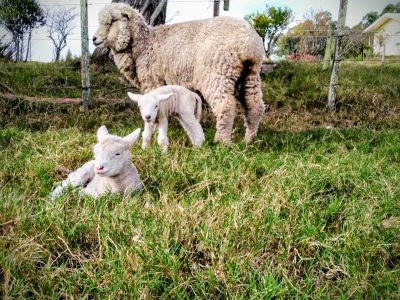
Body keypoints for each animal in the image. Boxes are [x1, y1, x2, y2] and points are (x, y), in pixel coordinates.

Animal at [93, 3, 266, 144]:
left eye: (111, 21)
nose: (94, 39)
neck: (143, 43)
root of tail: (248, 43)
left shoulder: (152, 81)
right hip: (250, 74)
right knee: (254, 106)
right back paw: (249, 140)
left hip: (217, 74)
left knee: (225, 106)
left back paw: (221, 141)